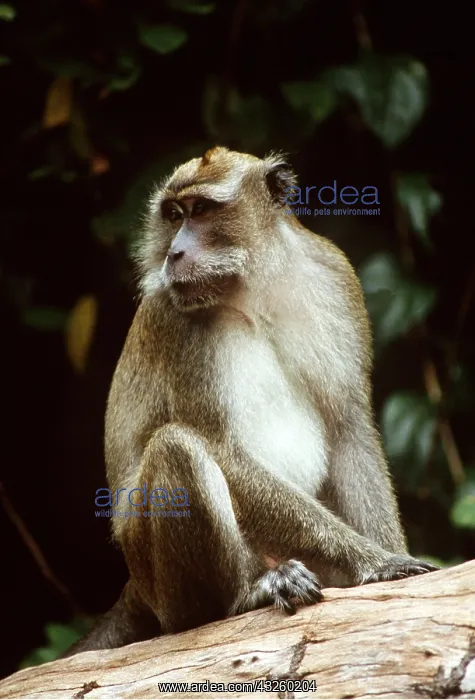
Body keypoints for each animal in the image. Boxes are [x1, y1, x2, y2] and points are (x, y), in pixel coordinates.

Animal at [65, 146, 438, 656]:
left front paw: (391, 560)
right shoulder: (175, 320)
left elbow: (347, 428)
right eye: (174, 215)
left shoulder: (336, 277)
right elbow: (222, 448)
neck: (253, 285)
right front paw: (376, 560)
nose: (174, 253)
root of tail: (136, 589)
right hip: (165, 591)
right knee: (178, 449)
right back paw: (244, 596)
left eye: (201, 210)